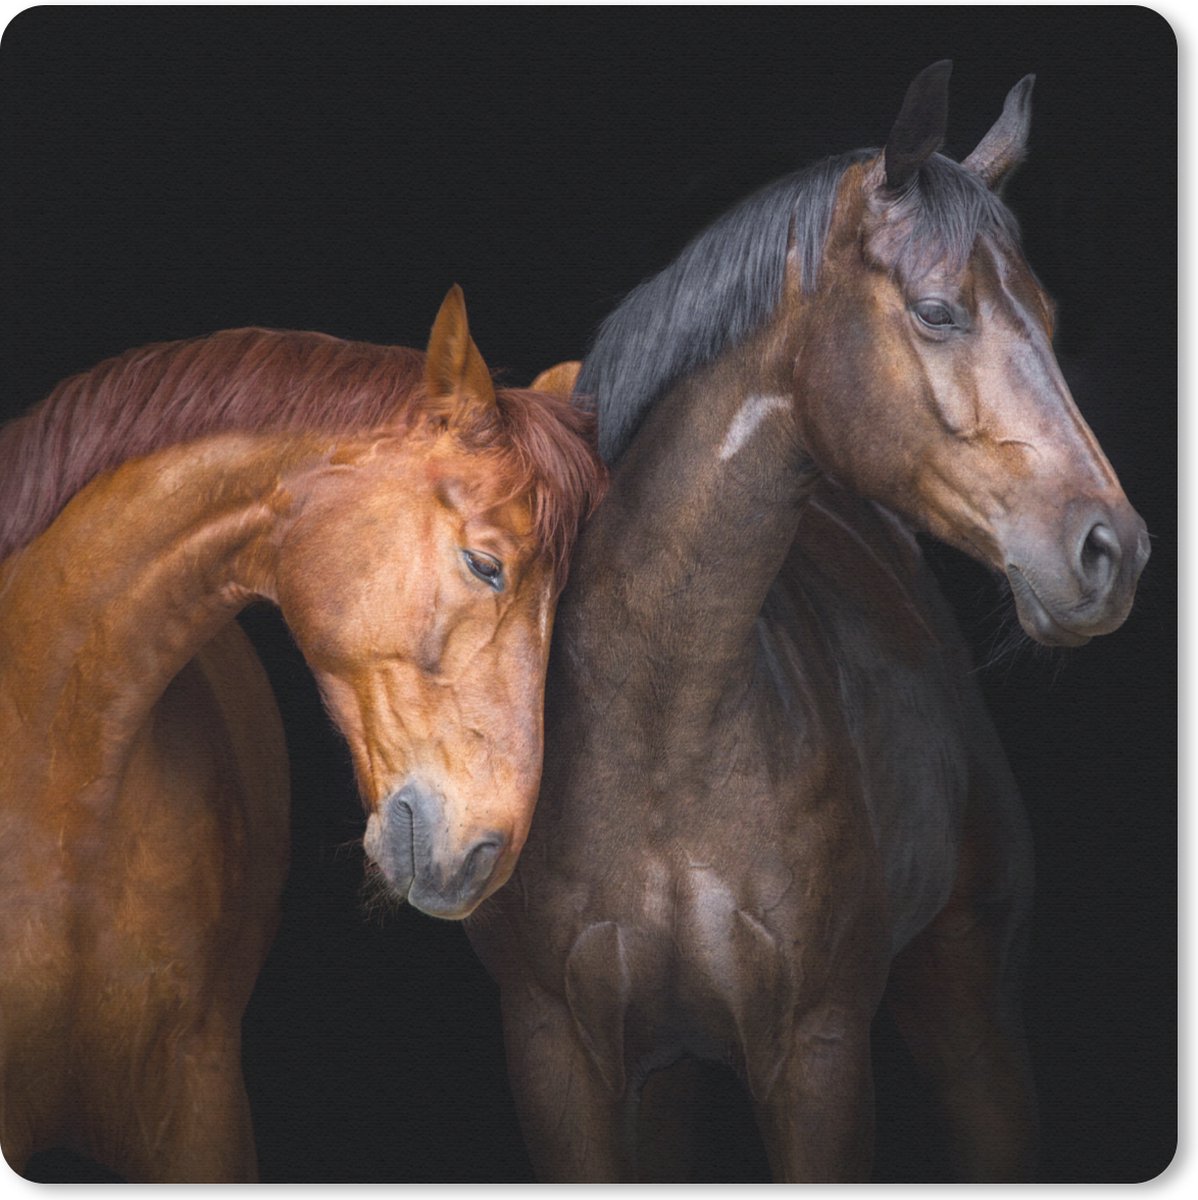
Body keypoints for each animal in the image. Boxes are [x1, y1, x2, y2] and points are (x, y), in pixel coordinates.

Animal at [465, 63, 1149, 1182]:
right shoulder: (557, 1054)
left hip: (972, 1021)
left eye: (1048, 319)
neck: (662, 727)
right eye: (936, 311)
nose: (1112, 551)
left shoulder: (817, 1054)